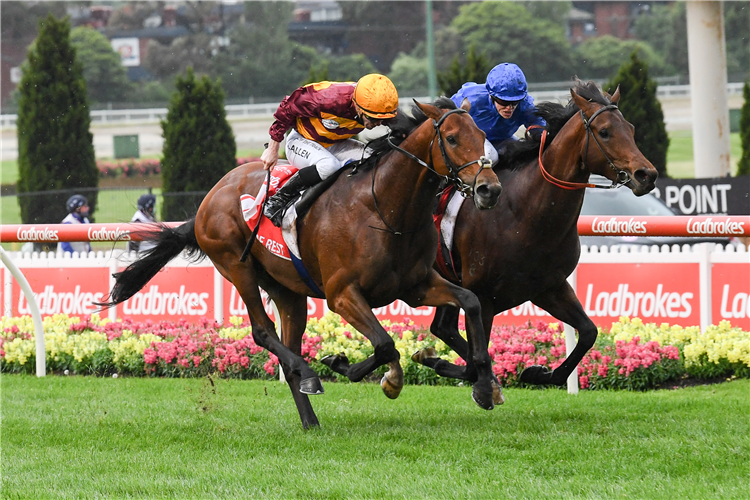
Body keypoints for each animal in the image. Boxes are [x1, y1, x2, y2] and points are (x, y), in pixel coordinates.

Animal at [100, 99, 506, 428]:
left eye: (482, 134)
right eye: (451, 139)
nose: (490, 189)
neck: (386, 207)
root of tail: (209, 198)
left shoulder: (416, 285)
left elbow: (470, 301)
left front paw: (483, 385)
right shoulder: (342, 294)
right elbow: (386, 344)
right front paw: (365, 372)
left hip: (288, 290)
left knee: (287, 346)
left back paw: (310, 416)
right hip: (236, 265)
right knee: (264, 333)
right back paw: (309, 372)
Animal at [414, 80, 660, 388]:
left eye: (631, 128)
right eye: (604, 131)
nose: (646, 175)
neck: (525, 214)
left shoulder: (548, 286)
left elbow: (588, 332)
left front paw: (538, 372)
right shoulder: (483, 296)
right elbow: (474, 362)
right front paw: (438, 362)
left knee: (442, 327)